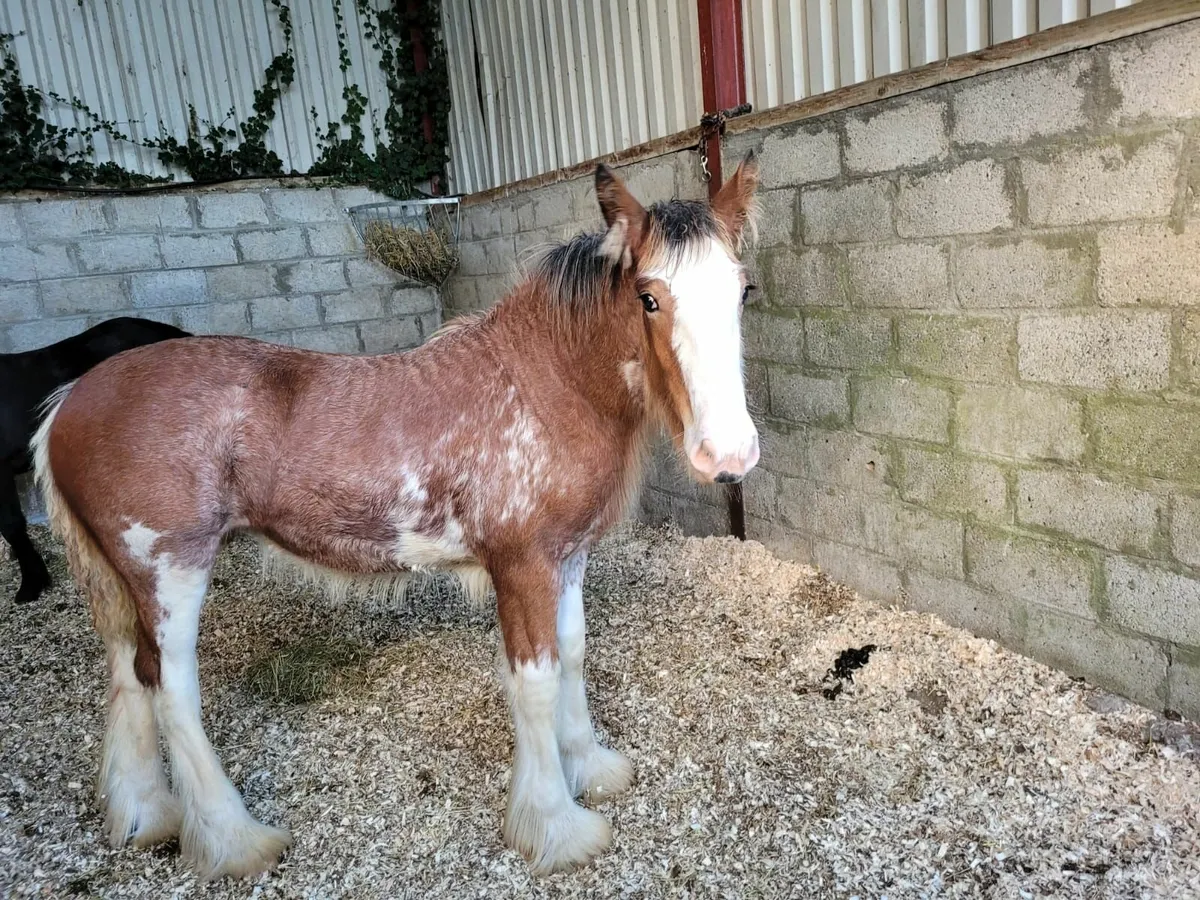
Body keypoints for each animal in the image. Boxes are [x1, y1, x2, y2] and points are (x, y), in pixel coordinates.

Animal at [31, 156, 762, 878]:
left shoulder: (569, 554)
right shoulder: (521, 565)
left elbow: (573, 652)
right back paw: (233, 839)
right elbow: (535, 682)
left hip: (125, 580)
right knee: (171, 688)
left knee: (130, 671)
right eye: (648, 297)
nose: (728, 455)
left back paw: (144, 814)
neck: (544, 383)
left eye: (743, 292)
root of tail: (72, 399)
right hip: (170, 570)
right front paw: (555, 827)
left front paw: (590, 768)